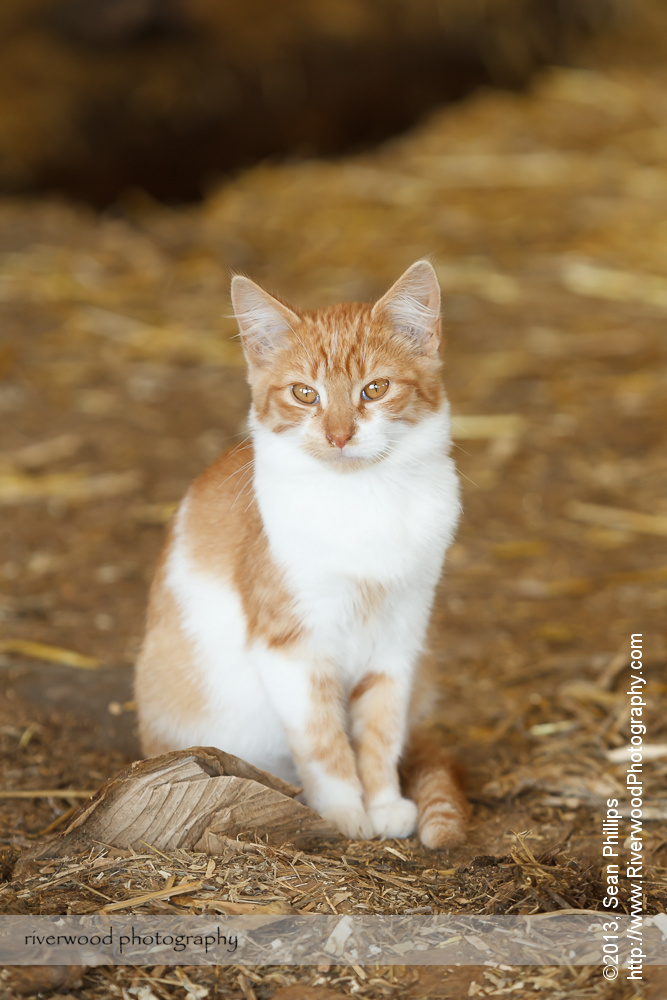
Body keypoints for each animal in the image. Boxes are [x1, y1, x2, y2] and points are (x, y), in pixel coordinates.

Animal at [136, 258, 470, 844]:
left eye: (375, 388)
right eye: (304, 394)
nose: (338, 436)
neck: (364, 499)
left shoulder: (400, 638)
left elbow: (380, 730)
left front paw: (384, 803)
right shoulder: (290, 647)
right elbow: (322, 738)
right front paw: (344, 812)